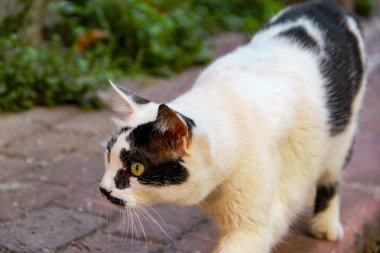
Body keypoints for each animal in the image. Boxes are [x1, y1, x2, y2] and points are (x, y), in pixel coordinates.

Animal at [99, 0, 366, 252]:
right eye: (109, 154)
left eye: (137, 168)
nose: (104, 189)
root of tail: (328, 6)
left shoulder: (254, 225)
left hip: (343, 136)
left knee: (331, 178)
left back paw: (325, 225)